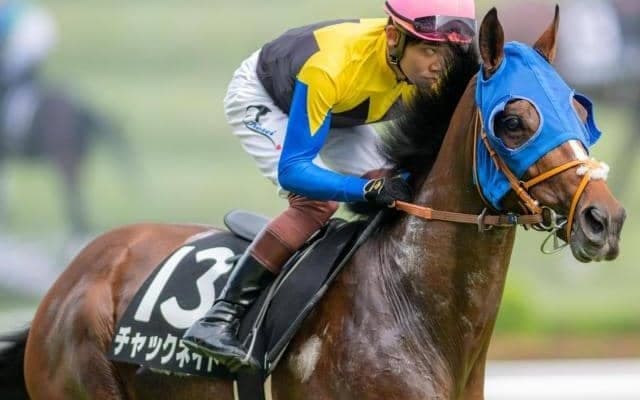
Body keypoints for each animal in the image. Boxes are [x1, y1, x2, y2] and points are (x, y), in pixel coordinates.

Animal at [0, 80, 132, 233]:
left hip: (64, 155)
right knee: (77, 186)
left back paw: (77, 225)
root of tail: (79, 106)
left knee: (70, 187)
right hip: (78, 156)